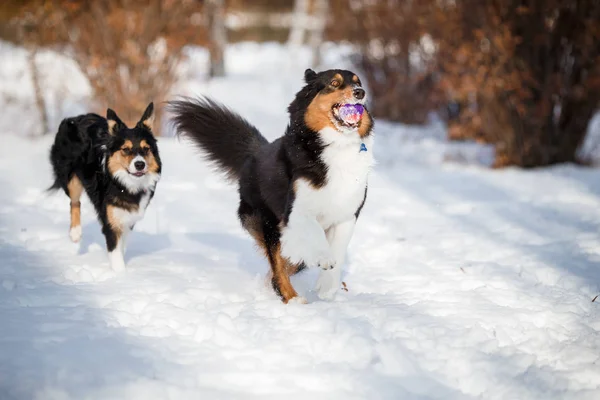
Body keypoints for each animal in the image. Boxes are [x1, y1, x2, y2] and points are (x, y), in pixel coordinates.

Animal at [48, 103, 162, 272]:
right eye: (125, 149)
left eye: (146, 148)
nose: (140, 164)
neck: (125, 184)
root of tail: (75, 118)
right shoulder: (111, 223)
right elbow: (116, 255)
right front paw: (120, 276)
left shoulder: (128, 219)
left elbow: (121, 247)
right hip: (70, 177)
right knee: (74, 201)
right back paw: (75, 233)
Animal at [169, 69, 372, 302]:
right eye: (334, 83)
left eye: (358, 82)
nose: (360, 92)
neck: (336, 146)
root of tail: (255, 152)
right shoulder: (295, 211)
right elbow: (315, 232)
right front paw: (324, 257)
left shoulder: (347, 214)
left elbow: (338, 248)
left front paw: (327, 286)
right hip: (269, 223)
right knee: (278, 269)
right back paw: (293, 299)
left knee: (284, 266)